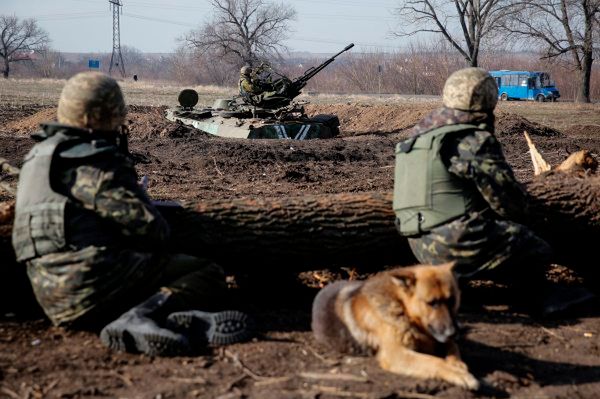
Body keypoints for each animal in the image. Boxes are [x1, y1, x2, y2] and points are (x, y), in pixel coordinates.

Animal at [312, 262, 480, 390]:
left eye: (452, 301)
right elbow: (434, 361)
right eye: (431, 303)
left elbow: (453, 348)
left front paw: (458, 365)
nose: (453, 332)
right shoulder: (396, 354)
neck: (402, 307)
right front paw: (459, 374)